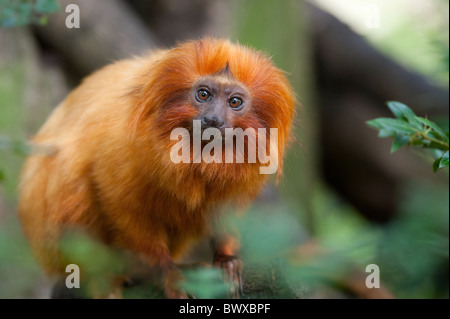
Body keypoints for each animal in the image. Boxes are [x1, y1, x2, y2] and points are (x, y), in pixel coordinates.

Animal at [19, 38, 298, 300]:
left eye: (235, 102)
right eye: (204, 95)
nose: (213, 119)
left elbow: (226, 208)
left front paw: (226, 258)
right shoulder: (121, 151)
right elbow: (122, 205)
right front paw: (168, 272)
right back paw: (104, 278)